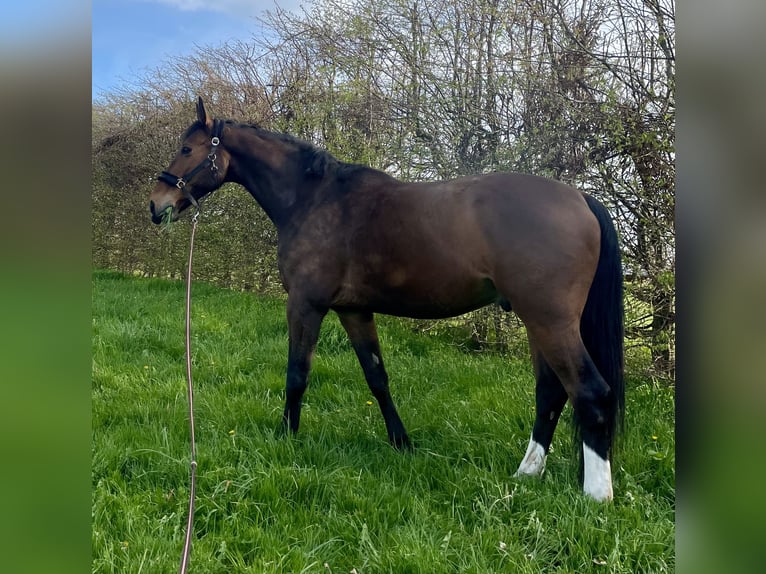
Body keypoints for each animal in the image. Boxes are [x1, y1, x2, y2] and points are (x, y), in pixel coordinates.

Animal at [150, 97, 624, 502]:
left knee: (591, 392)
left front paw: (286, 436)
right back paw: (527, 473)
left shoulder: (305, 305)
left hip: (550, 322)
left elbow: (297, 374)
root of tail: (581, 198)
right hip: (536, 323)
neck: (315, 199)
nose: (157, 204)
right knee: (550, 393)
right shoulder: (354, 310)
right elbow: (377, 378)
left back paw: (596, 495)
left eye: (187, 148)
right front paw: (402, 443)